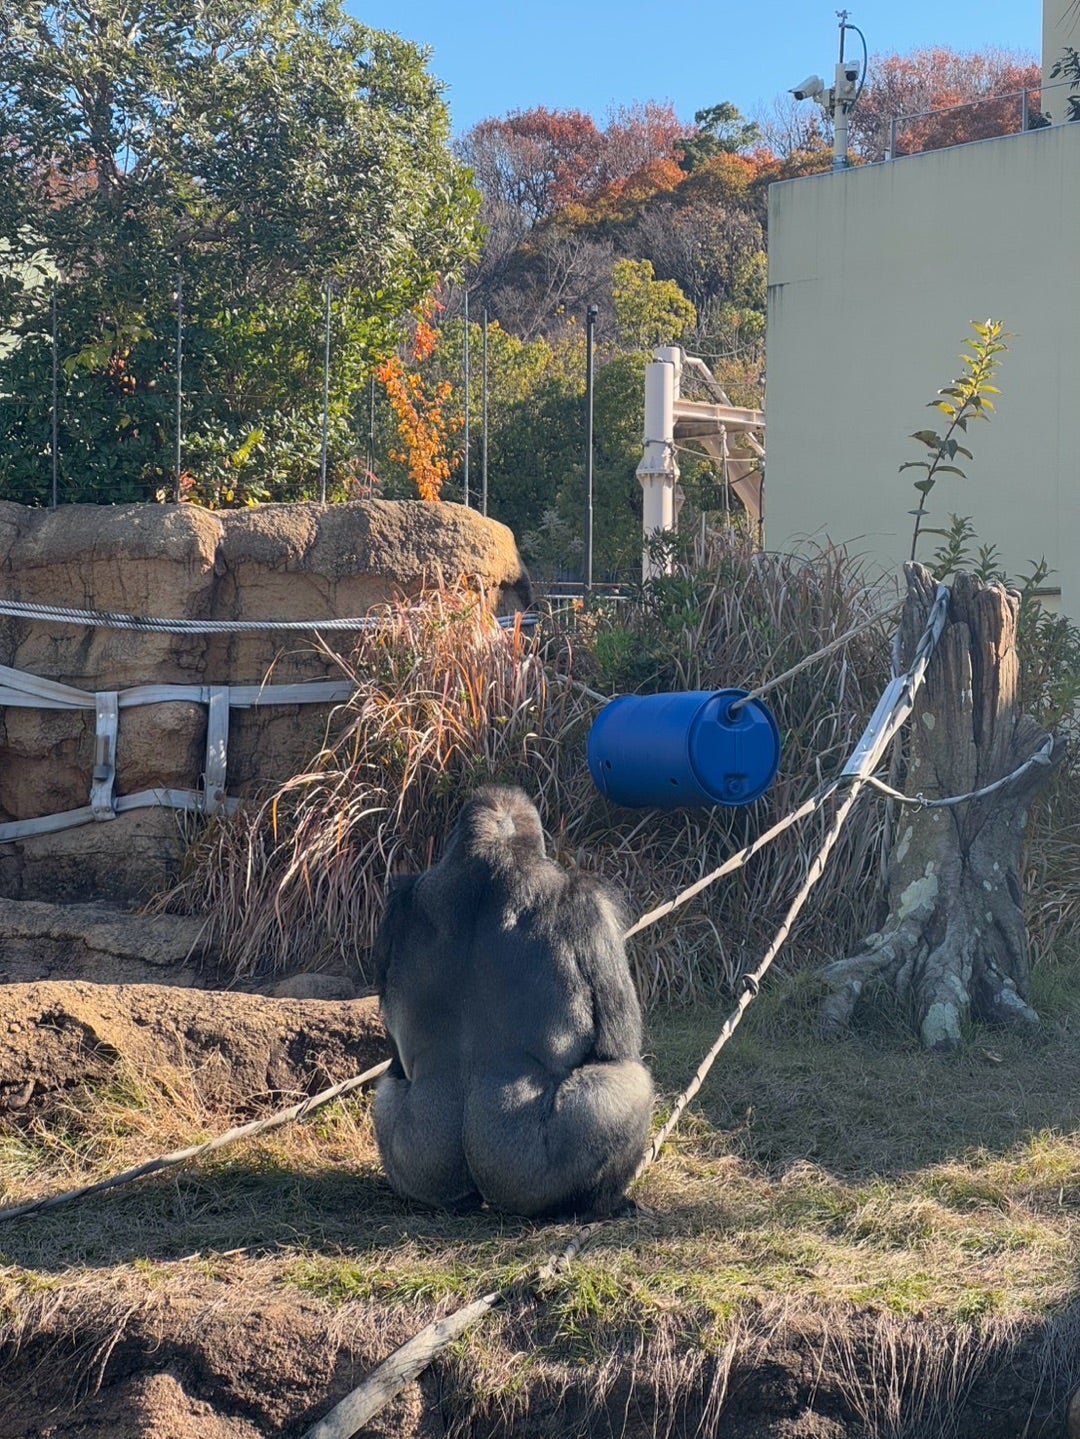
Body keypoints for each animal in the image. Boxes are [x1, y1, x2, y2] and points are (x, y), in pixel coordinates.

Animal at [376, 788, 655, 1214]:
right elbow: (616, 1045)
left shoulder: (398, 905)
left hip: (422, 1172)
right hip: (531, 1183)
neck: (491, 861)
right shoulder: (588, 905)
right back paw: (603, 1203)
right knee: (626, 1078)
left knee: (387, 1093)